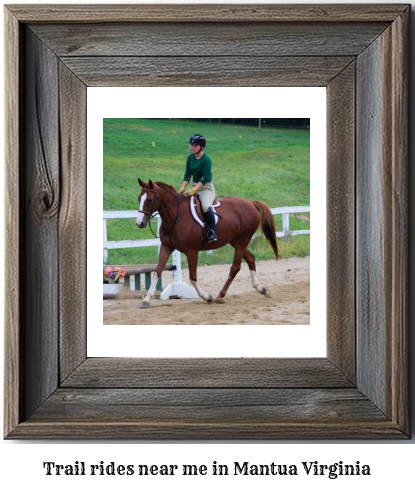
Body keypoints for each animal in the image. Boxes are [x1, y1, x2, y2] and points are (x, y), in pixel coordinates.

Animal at [136, 179, 280, 308]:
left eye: (149, 200)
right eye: (139, 199)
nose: (139, 223)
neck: (175, 216)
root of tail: (251, 203)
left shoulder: (192, 251)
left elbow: (193, 277)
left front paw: (207, 296)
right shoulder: (166, 247)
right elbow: (157, 272)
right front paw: (146, 299)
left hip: (242, 240)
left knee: (235, 267)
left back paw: (220, 295)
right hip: (235, 241)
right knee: (250, 259)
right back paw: (260, 288)